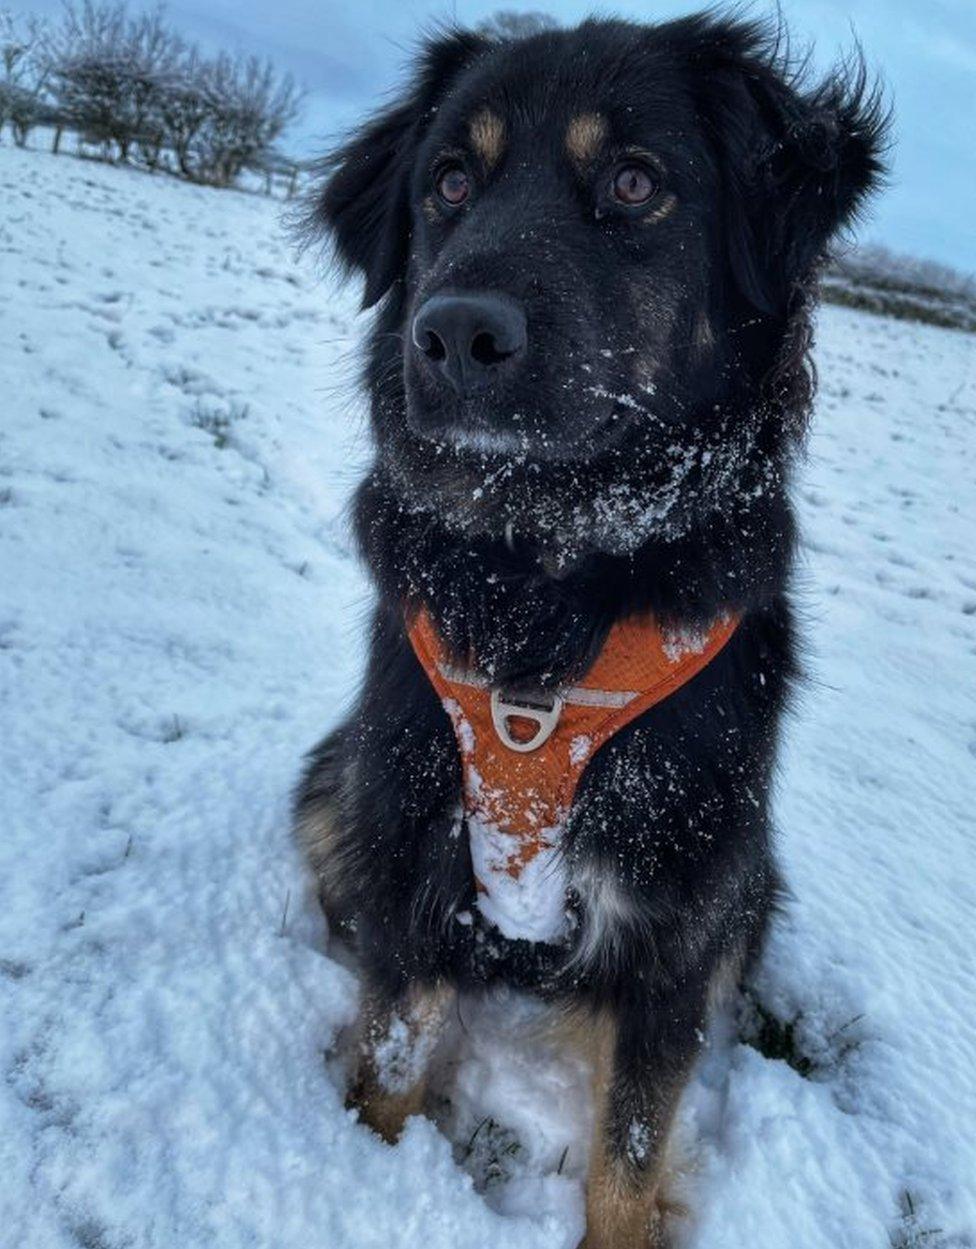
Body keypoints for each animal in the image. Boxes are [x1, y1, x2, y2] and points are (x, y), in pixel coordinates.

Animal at [291, 12, 884, 1249]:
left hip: (744, 884)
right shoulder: (414, 865)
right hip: (335, 785)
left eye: (633, 181)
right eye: (448, 182)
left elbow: (631, 1151)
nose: (453, 335)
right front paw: (370, 1170)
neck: (546, 589)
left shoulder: (673, 923)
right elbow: (389, 1066)